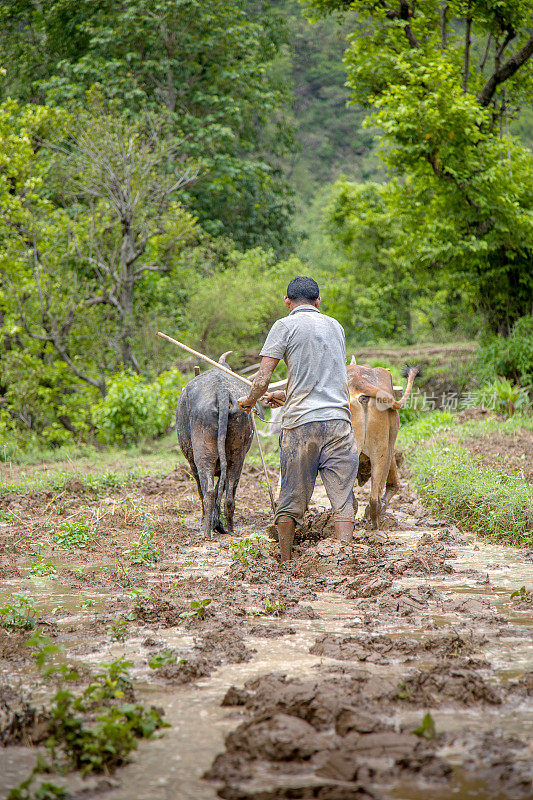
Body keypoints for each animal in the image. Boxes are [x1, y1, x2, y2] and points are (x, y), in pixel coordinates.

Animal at [176, 368, 255, 536]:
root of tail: (222, 391)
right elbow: (222, 487)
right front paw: (217, 522)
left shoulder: (192, 464)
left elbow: (202, 490)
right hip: (237, 456)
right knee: (229, 496)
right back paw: (229, 529)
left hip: (203, 456)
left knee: (208, 492)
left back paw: (205, 531)